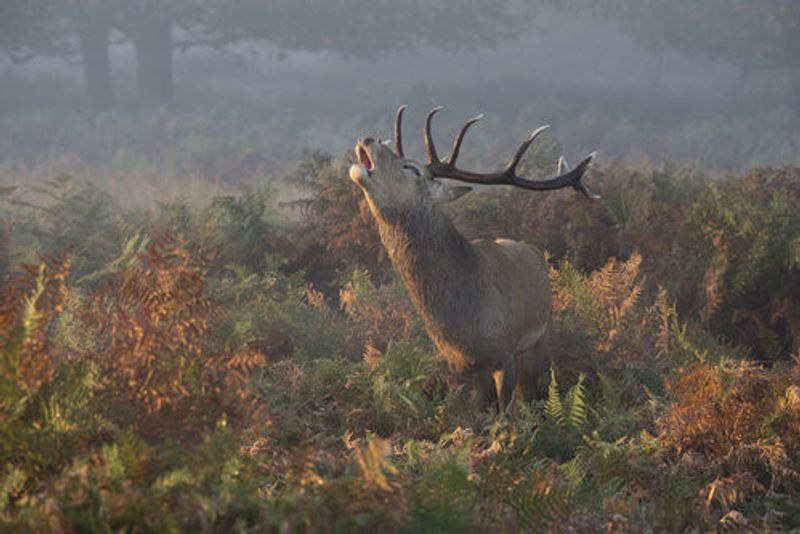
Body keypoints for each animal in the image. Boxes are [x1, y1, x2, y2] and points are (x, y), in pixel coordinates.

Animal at [349, 106, 598, 412]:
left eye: (412, 168)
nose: (367, 139)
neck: (463, 325)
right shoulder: (456, 368)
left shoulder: (506, 354)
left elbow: (506, 414)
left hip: (541, 337)